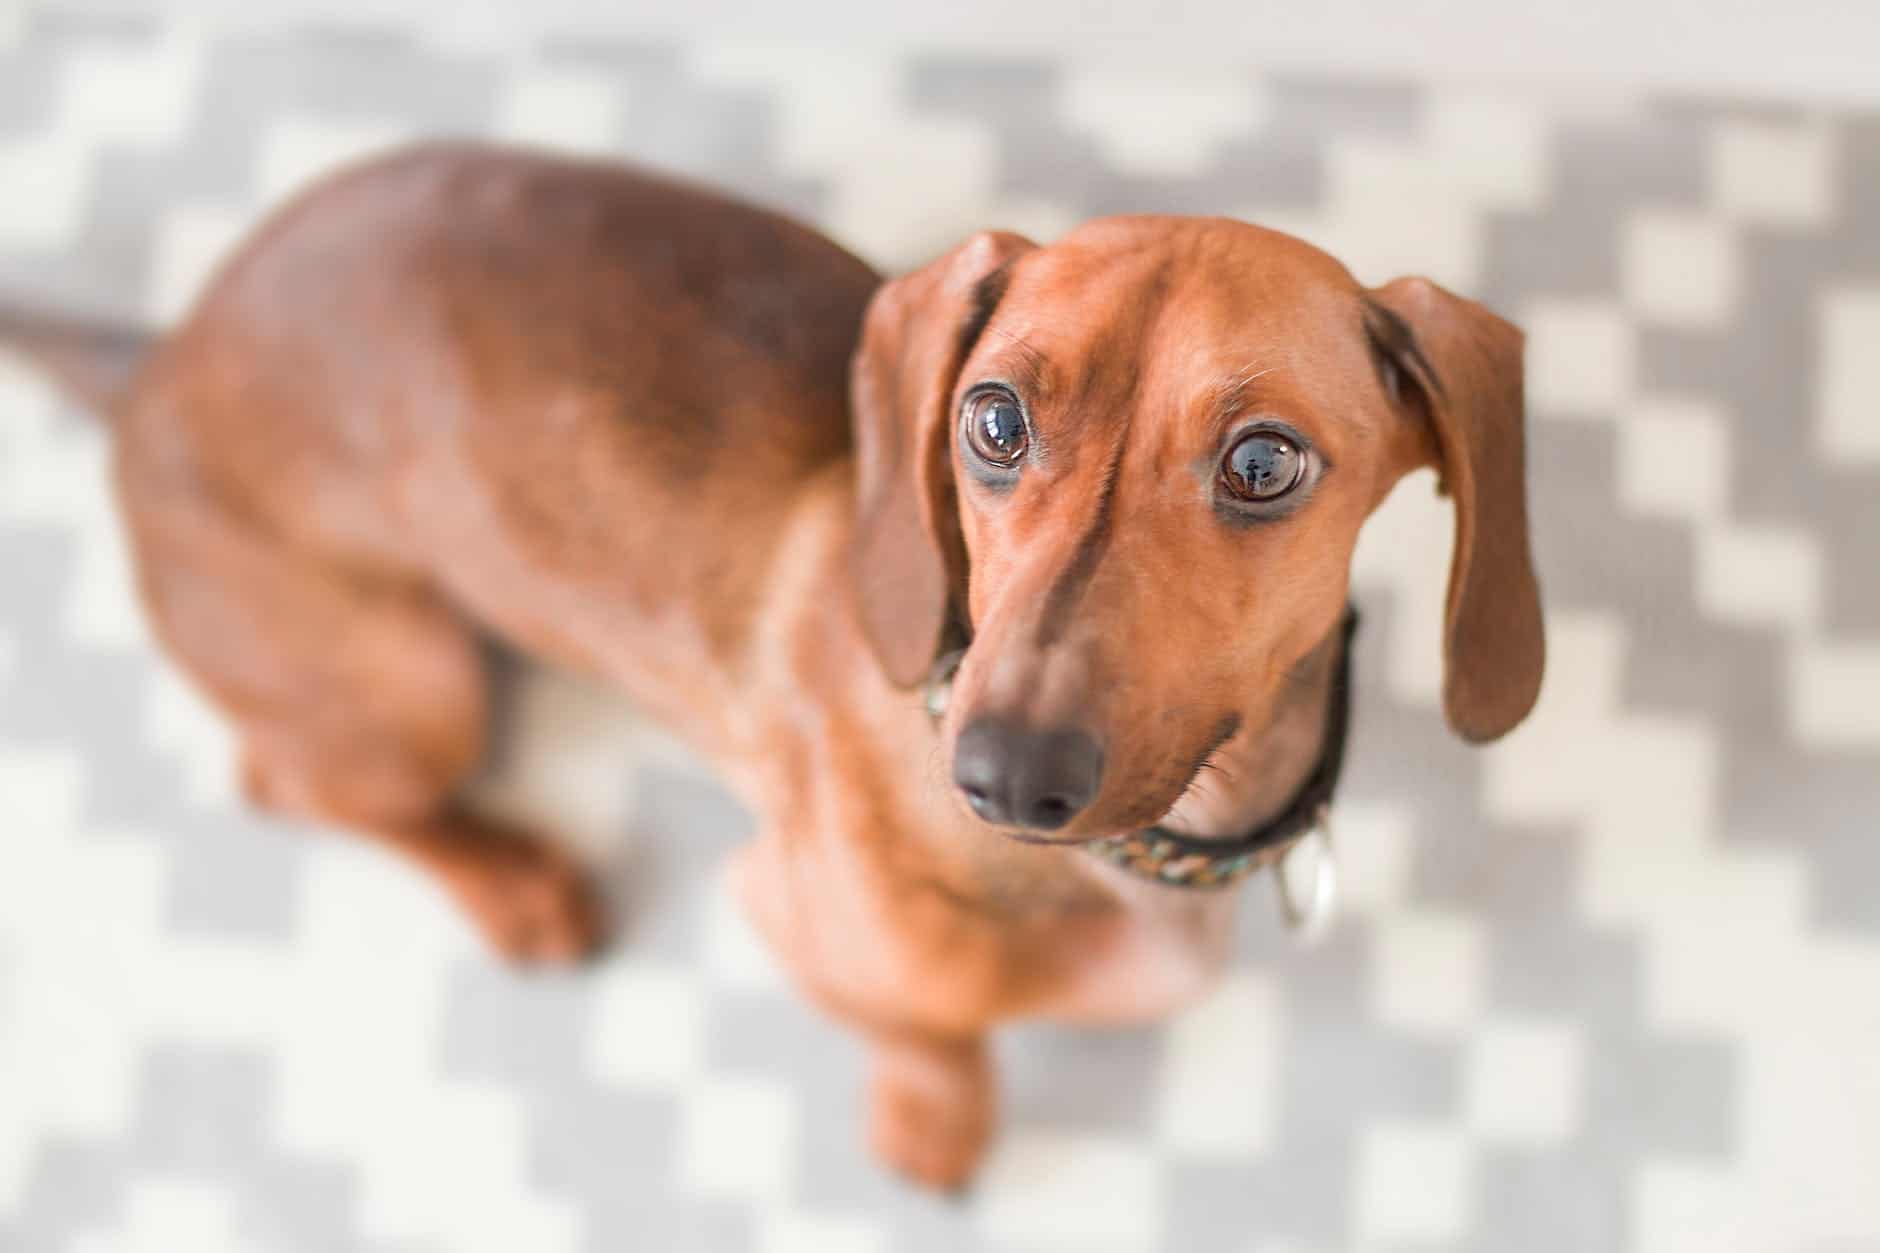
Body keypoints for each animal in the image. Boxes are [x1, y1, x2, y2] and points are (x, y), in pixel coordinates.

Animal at [0, 141, 1541, 1189]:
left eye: (1265, 463)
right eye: (993, 418)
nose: (999, 779)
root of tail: (157, 357)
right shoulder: (788, 912)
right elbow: (931, 1038)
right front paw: (934, 1128)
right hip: (416, 683)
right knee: (298, 783)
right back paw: (516, 886)